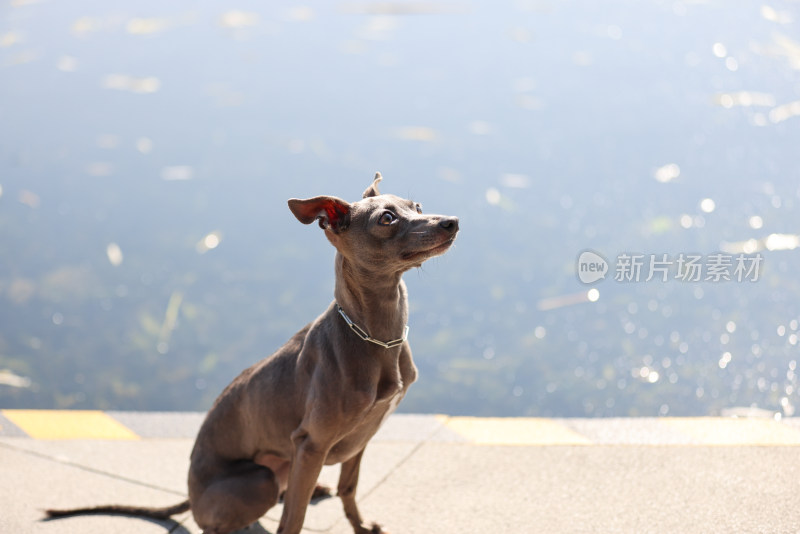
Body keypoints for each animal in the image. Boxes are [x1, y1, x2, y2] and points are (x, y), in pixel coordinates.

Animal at [47, 174, 460, 532]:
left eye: (417, 205)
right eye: (386, 218)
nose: (452, 221)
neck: (376, 337)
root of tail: (191, 496)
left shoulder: (363, 436)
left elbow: (348, 489)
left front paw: (361, 526)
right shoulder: (311, 443)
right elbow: (292, 520)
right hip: (259, 478)